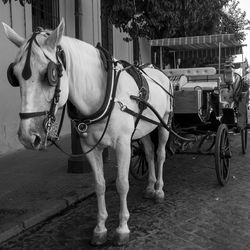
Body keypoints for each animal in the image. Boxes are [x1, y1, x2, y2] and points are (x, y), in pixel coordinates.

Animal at [2, 19, 172, 246]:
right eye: (15, 76)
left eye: (50, 75)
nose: (27, 136)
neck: (103, 94)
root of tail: (159, 71)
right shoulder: (90, 147)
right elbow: (99, 185)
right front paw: (100, 228)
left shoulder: (123, 144)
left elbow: (122, 184)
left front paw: (122, 228)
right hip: (144, 128)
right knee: (150, 153)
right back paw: (150, 187)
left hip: (164, 123)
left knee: (160, 154)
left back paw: (159, 190)